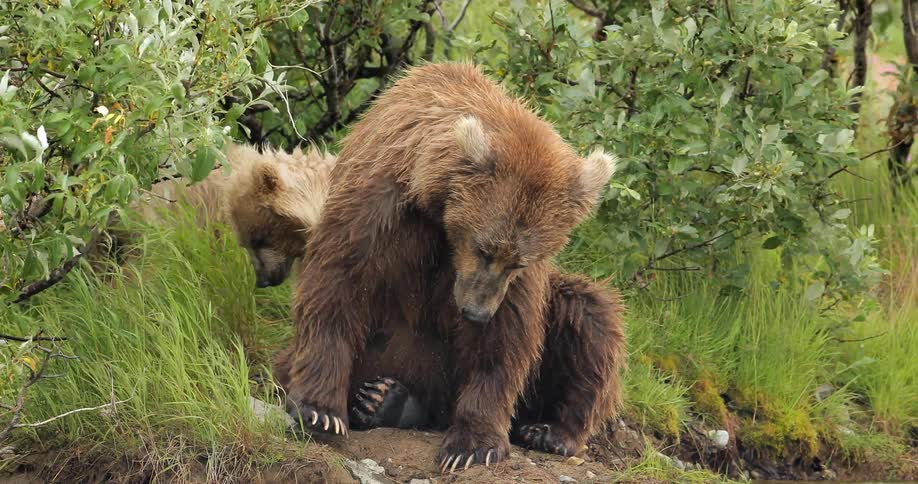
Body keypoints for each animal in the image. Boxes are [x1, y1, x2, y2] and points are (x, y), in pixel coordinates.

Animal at [275, 62, 626, 472]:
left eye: (519, 261)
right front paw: (320, 410)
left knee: (589, 315)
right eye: (484, 248)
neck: (434, 206)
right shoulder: (378, 204)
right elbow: (338, 280)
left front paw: (472, 444)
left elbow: (506, 338)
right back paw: (376, 400)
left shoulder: (515, 285)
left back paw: (550, 431)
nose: (475, 313)